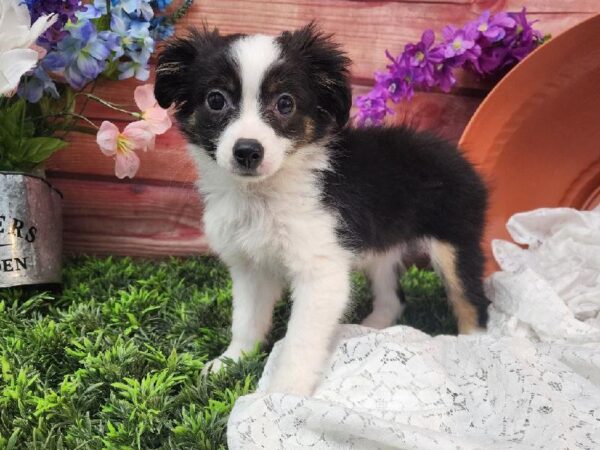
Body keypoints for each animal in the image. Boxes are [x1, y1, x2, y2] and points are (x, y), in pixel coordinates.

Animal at [154, 23, 488, 394]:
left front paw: (284, 395)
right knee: (393, 296)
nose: (247, 151)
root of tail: (459, 157)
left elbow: (300, 341)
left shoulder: (321, 273)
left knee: (472, 301)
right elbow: (246, 320)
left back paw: (480, 353)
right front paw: (230, 361)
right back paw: (372, 328)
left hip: (455, 241)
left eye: (285, 103)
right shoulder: (251, 266)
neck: (261, 195)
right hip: (380, 245)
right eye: (215, 100)